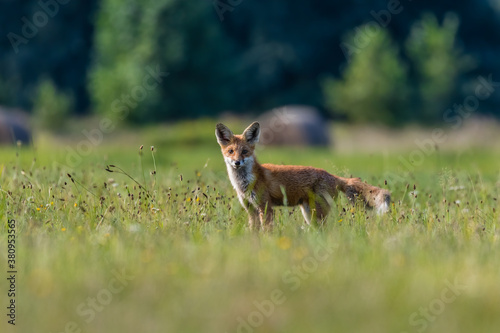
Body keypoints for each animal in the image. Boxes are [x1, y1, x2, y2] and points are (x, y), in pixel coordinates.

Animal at [215, 122, 390, 228]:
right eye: (231, 151)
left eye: (245, 151)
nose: (237, 162)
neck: (245, 183)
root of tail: (333, 176)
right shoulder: (250, 209)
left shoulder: (265, 208)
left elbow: (267, 232)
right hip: (309, 214)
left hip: (317, 213)